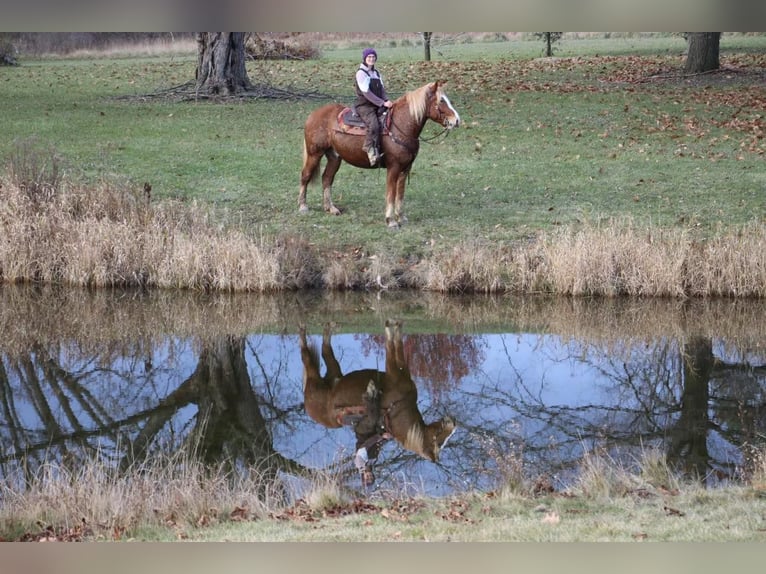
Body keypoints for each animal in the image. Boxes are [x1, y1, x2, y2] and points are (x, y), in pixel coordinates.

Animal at [298, 81, 462, 230]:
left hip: (334, 157)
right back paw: (303, 206)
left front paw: (401, 217)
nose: (457, 120)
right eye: (441, 100)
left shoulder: (405, 168)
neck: (400, 126)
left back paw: (331, 208)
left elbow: (400, 193)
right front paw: (391, 221)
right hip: (314, 154)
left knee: (327, 178)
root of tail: (313, 115)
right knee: (306, 175)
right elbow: (391, 193)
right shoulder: (393, 168)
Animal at [300, 320, 456, 476]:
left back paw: (327, 328)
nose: (454, 423)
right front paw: (392, 327)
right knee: (306, 355)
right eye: (439, 440)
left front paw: (394, 327)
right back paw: (304, 329)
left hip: (333, 372)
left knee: (325, 350)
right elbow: (394, 346)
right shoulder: (393, 371)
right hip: (315, 378)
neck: (398, 408)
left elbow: (396, 346)